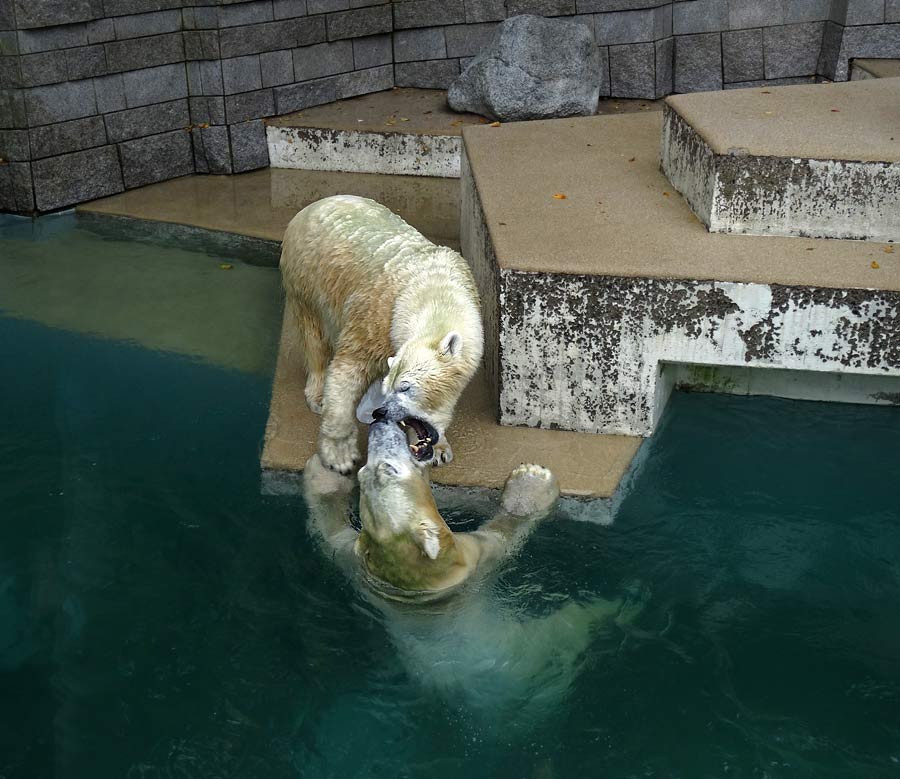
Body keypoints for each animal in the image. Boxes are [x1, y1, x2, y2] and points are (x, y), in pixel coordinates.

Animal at [282, 195, 486, 476]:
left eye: (405, 386)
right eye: (389, 386)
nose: (381, 412)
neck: (435, 289)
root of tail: (314, 205)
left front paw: (439, 450)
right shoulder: (375, 320)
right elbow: (347, 372)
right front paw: (340, 455)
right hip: (307, 277)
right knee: (314, 337)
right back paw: (318, 394)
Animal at [302, 418, 648, 728]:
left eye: (377, 470)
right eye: (390, 468)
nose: (379, 424)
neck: (415, 587)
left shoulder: (354, 562)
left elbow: (330, 531)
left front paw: (325, 470)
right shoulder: (476, 558)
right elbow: (506, 533)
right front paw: (532, 482)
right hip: (543, 641)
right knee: (578, 618)